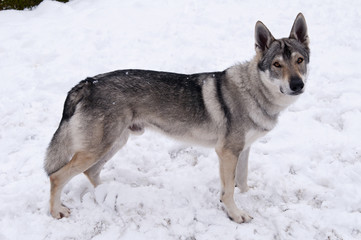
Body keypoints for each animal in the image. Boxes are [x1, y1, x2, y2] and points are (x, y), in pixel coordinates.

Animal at [44, 13, 310, 223]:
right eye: (276, 65)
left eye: (300, 61)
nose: (298, 85)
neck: (253, 92)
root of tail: (87, 83)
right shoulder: (227, 152)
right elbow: (228, 192)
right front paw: (236, 214)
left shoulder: (243, 150)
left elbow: (241, 181)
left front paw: (248, 195)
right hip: (98, 148)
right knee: (57, 176)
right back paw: (57, 211)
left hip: (115, 143)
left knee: (91, 172)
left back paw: (111, 190)